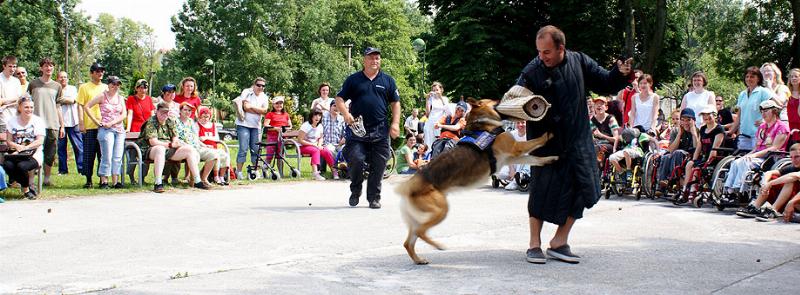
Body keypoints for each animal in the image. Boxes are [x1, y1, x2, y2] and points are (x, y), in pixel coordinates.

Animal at [394, 98, 556, 264]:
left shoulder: (512, 158)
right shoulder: (516, 148)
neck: (483, 122)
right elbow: (536, 141)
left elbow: (535, 159)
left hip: (419, 218)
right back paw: (438, 246)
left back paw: (419, 259)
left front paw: (550, 159)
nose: (502, 98)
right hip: (441, 210)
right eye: (494, 100)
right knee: (420, 232)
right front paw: (548, 134)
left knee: (408, 242)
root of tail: (409, 186)